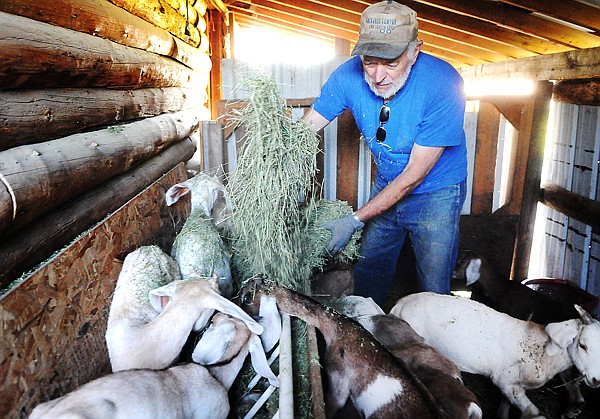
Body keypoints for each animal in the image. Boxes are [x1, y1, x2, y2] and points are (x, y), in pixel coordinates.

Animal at [392, 292, 600, 419]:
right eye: (582, 345)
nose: (596, 380)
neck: (543, 351)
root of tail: (400, 303)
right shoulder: (504, 381)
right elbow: (533, 410)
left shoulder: (511, 386)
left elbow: (506, 404)